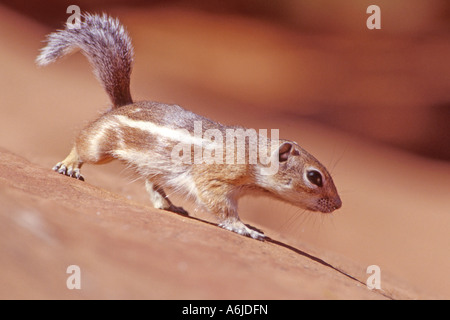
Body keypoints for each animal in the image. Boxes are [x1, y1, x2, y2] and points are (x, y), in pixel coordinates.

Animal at [37, 13, 342, 240]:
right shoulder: (215, 178)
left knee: (153, 186)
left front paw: (249, 225)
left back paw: (170, 205)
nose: (338, 205)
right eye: (314, 177)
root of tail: (121, 106)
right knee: (82, 145)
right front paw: (244, 228)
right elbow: (221, 207)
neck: (253, 157)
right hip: (101, 147)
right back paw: (69, 166)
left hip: (155, 168)